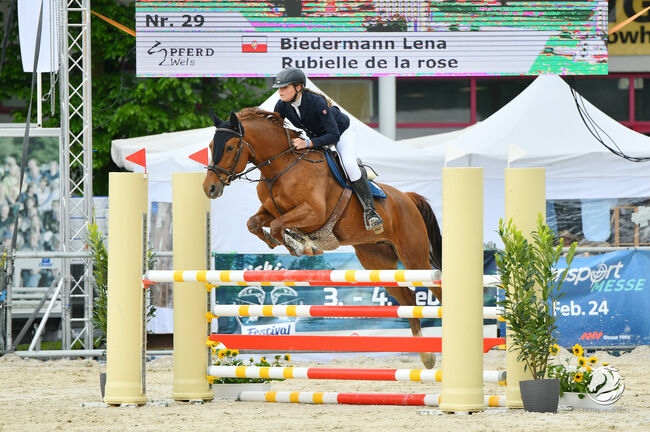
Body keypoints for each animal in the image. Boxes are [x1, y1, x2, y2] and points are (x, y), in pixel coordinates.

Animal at [202, 108, 442, 368]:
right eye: (210, 145)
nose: (209, 188)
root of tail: (407, 198)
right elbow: (256, 223)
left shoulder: (314, 212)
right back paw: (426, 357)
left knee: (436, 288)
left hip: (414, 257)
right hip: (378, 262)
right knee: (408, 299)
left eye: (229, 147)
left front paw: (302, 245)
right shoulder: (271, 211)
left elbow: (278, 226)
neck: (281, 167)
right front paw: (286, 242)